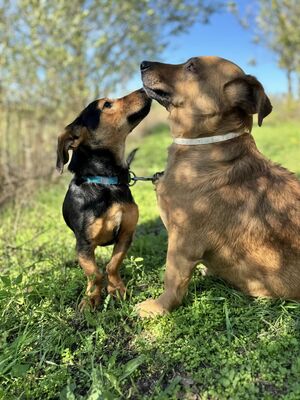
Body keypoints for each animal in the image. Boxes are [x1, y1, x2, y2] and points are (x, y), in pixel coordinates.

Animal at [56, 89, 151, 310]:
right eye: (107, 105)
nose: (144, 88)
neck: (106, 182)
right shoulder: (83, 245)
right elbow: (95, 274)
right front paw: (92, 298)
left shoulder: (125, 234)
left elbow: (112, 265)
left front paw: (117, 289)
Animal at [138, 56, 300, 318]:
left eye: (191, 66)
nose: (143, 63)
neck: (206, 146)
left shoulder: (183, 243)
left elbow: (172, 279)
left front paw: (159, 307)